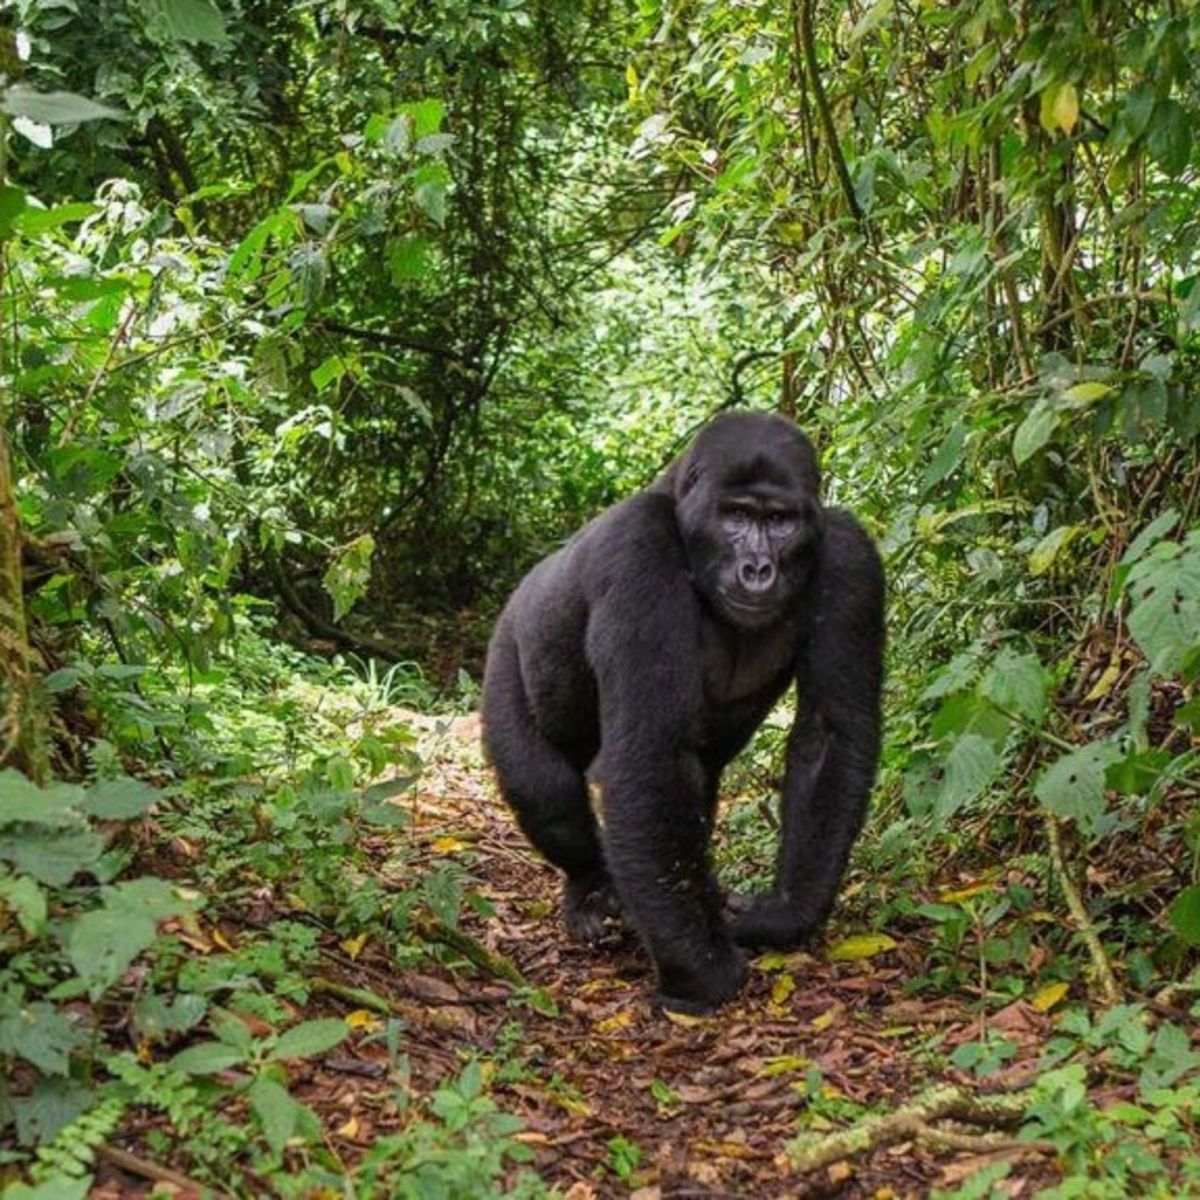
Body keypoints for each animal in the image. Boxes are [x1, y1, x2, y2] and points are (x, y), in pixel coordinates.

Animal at [482, 412, 888, 1012]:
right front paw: (702, 972)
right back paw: (590, 889)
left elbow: (829, 737)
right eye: (736, 515)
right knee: (544, 788)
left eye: (780, 521)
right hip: (507, 647)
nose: (757, 568)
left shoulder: (849, 555)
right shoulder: (638, 548)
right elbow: (649, 752)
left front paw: (781, 913)